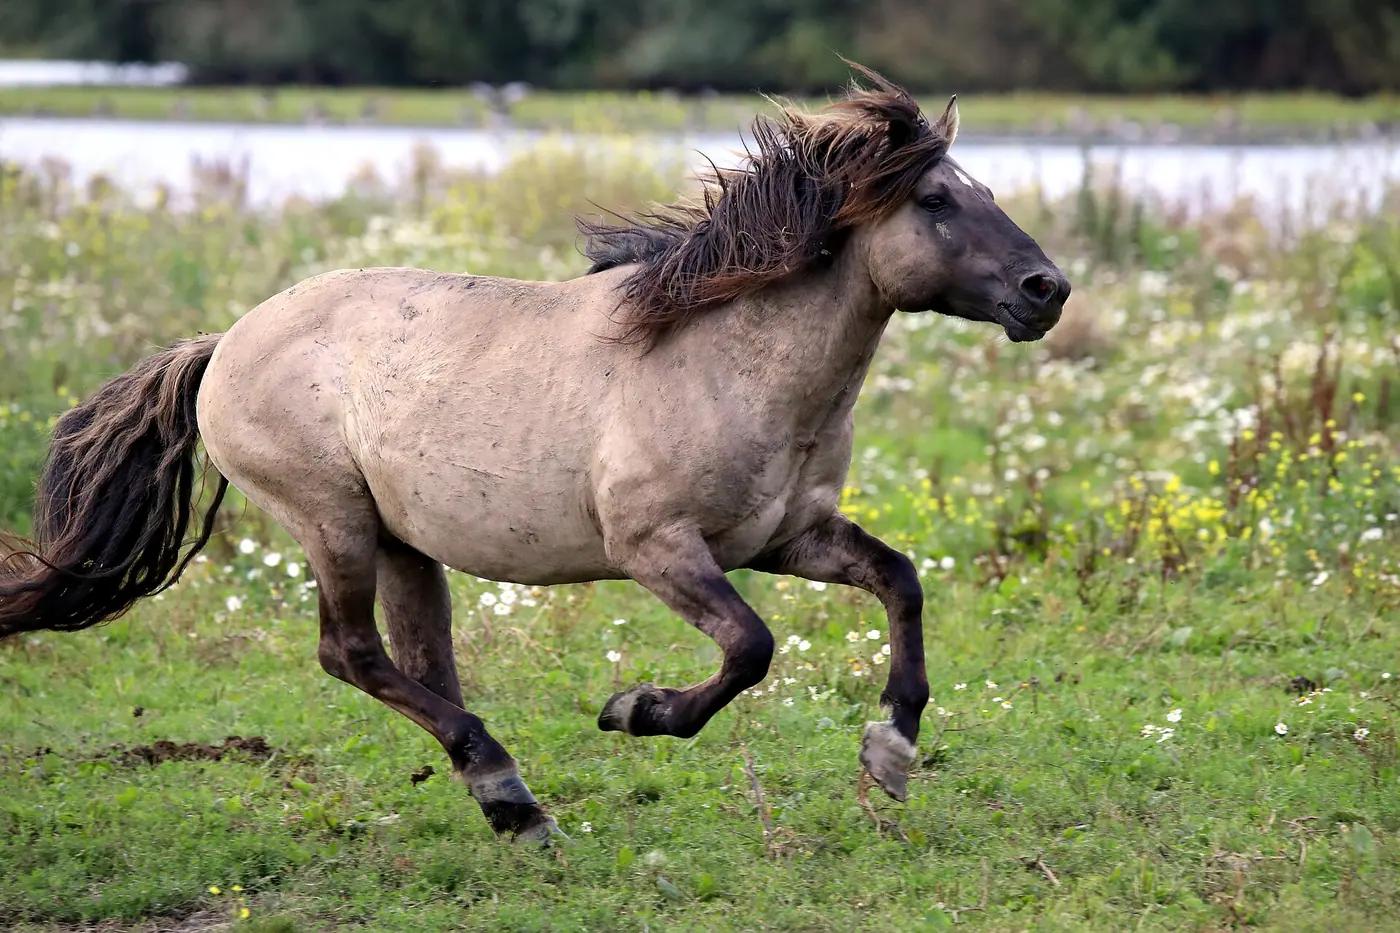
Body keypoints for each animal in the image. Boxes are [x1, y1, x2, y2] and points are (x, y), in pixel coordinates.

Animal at [0, 64, 1068, 844]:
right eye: (934, 200)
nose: (1046, 289)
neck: (725, 358)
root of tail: (222, 343)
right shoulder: (656, 547)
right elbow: (752, 648)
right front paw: (635, 709)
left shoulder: (787, 538)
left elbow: (901, 580)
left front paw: (888, 753)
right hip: (331, 519)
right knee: (351, 651)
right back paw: (511, 788)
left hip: (403, 543)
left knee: (420, 660)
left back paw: (508, 798)